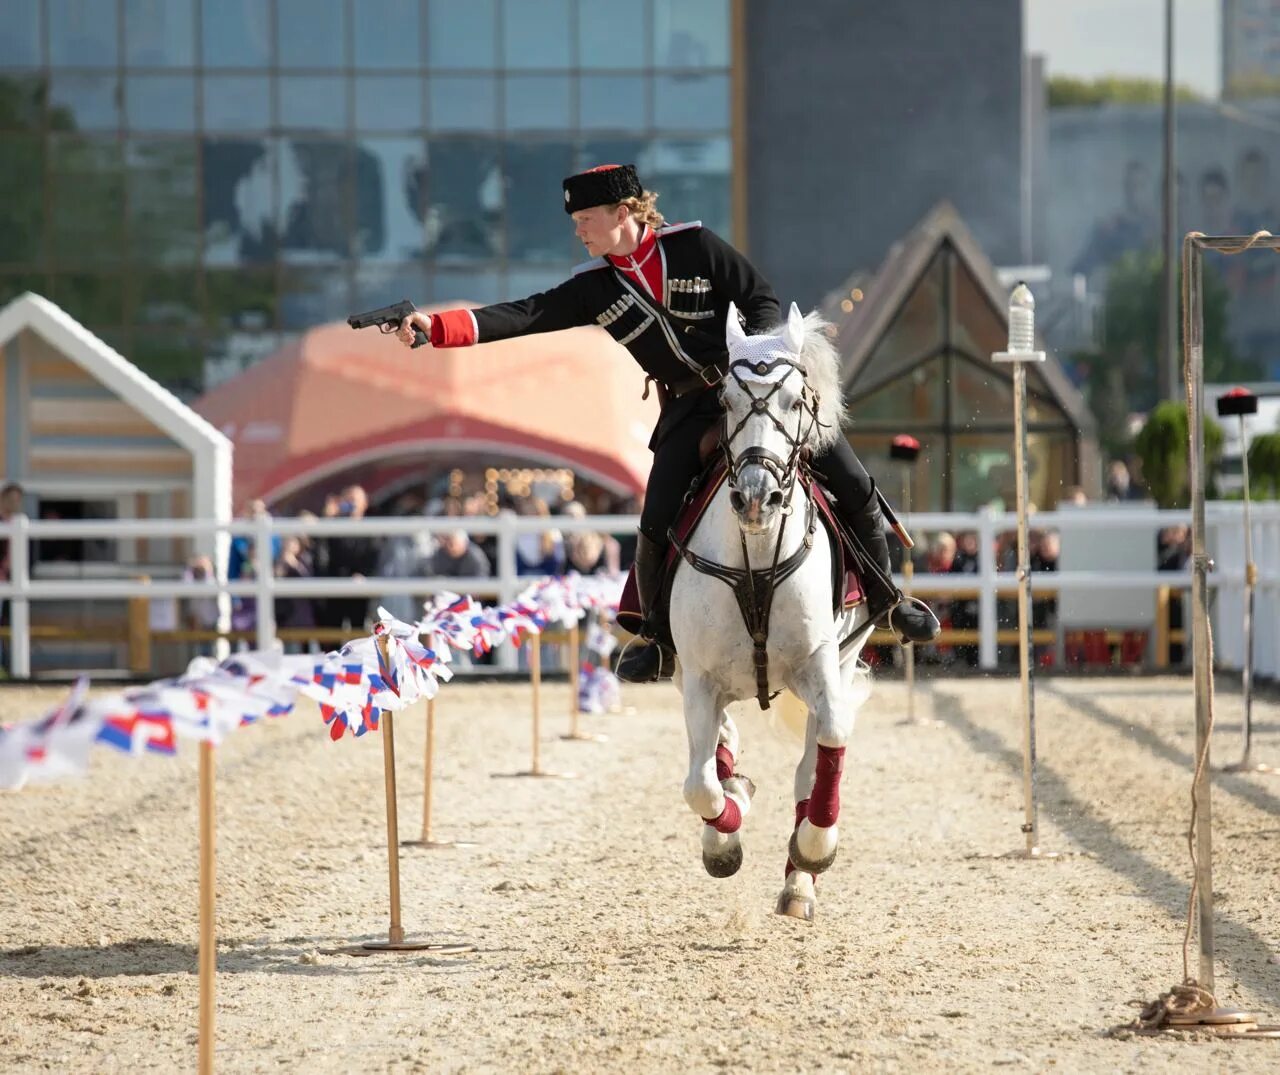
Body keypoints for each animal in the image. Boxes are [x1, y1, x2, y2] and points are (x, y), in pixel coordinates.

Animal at [670, 298, 870, 921]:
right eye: (726, 402)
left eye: (794, 400)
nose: (758, 499)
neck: (756, 558)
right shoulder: (698, 678)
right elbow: (701, 784)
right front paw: (723, 841)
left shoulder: (822, 663)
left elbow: (832, 739)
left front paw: (814, 849)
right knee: (720, 749)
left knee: (812, 764)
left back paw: (799, 881)